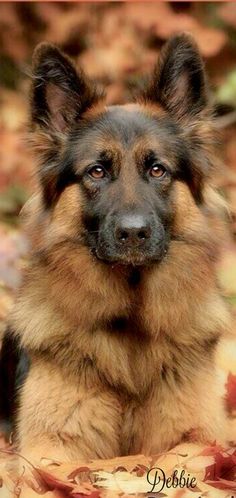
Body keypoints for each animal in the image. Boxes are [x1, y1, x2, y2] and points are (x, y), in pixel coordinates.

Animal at [5, 34, 230, 462]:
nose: (133, 233)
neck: (130, 323)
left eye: (157, 170)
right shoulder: (49, 447)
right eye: (97, 171)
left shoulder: (199, 437)